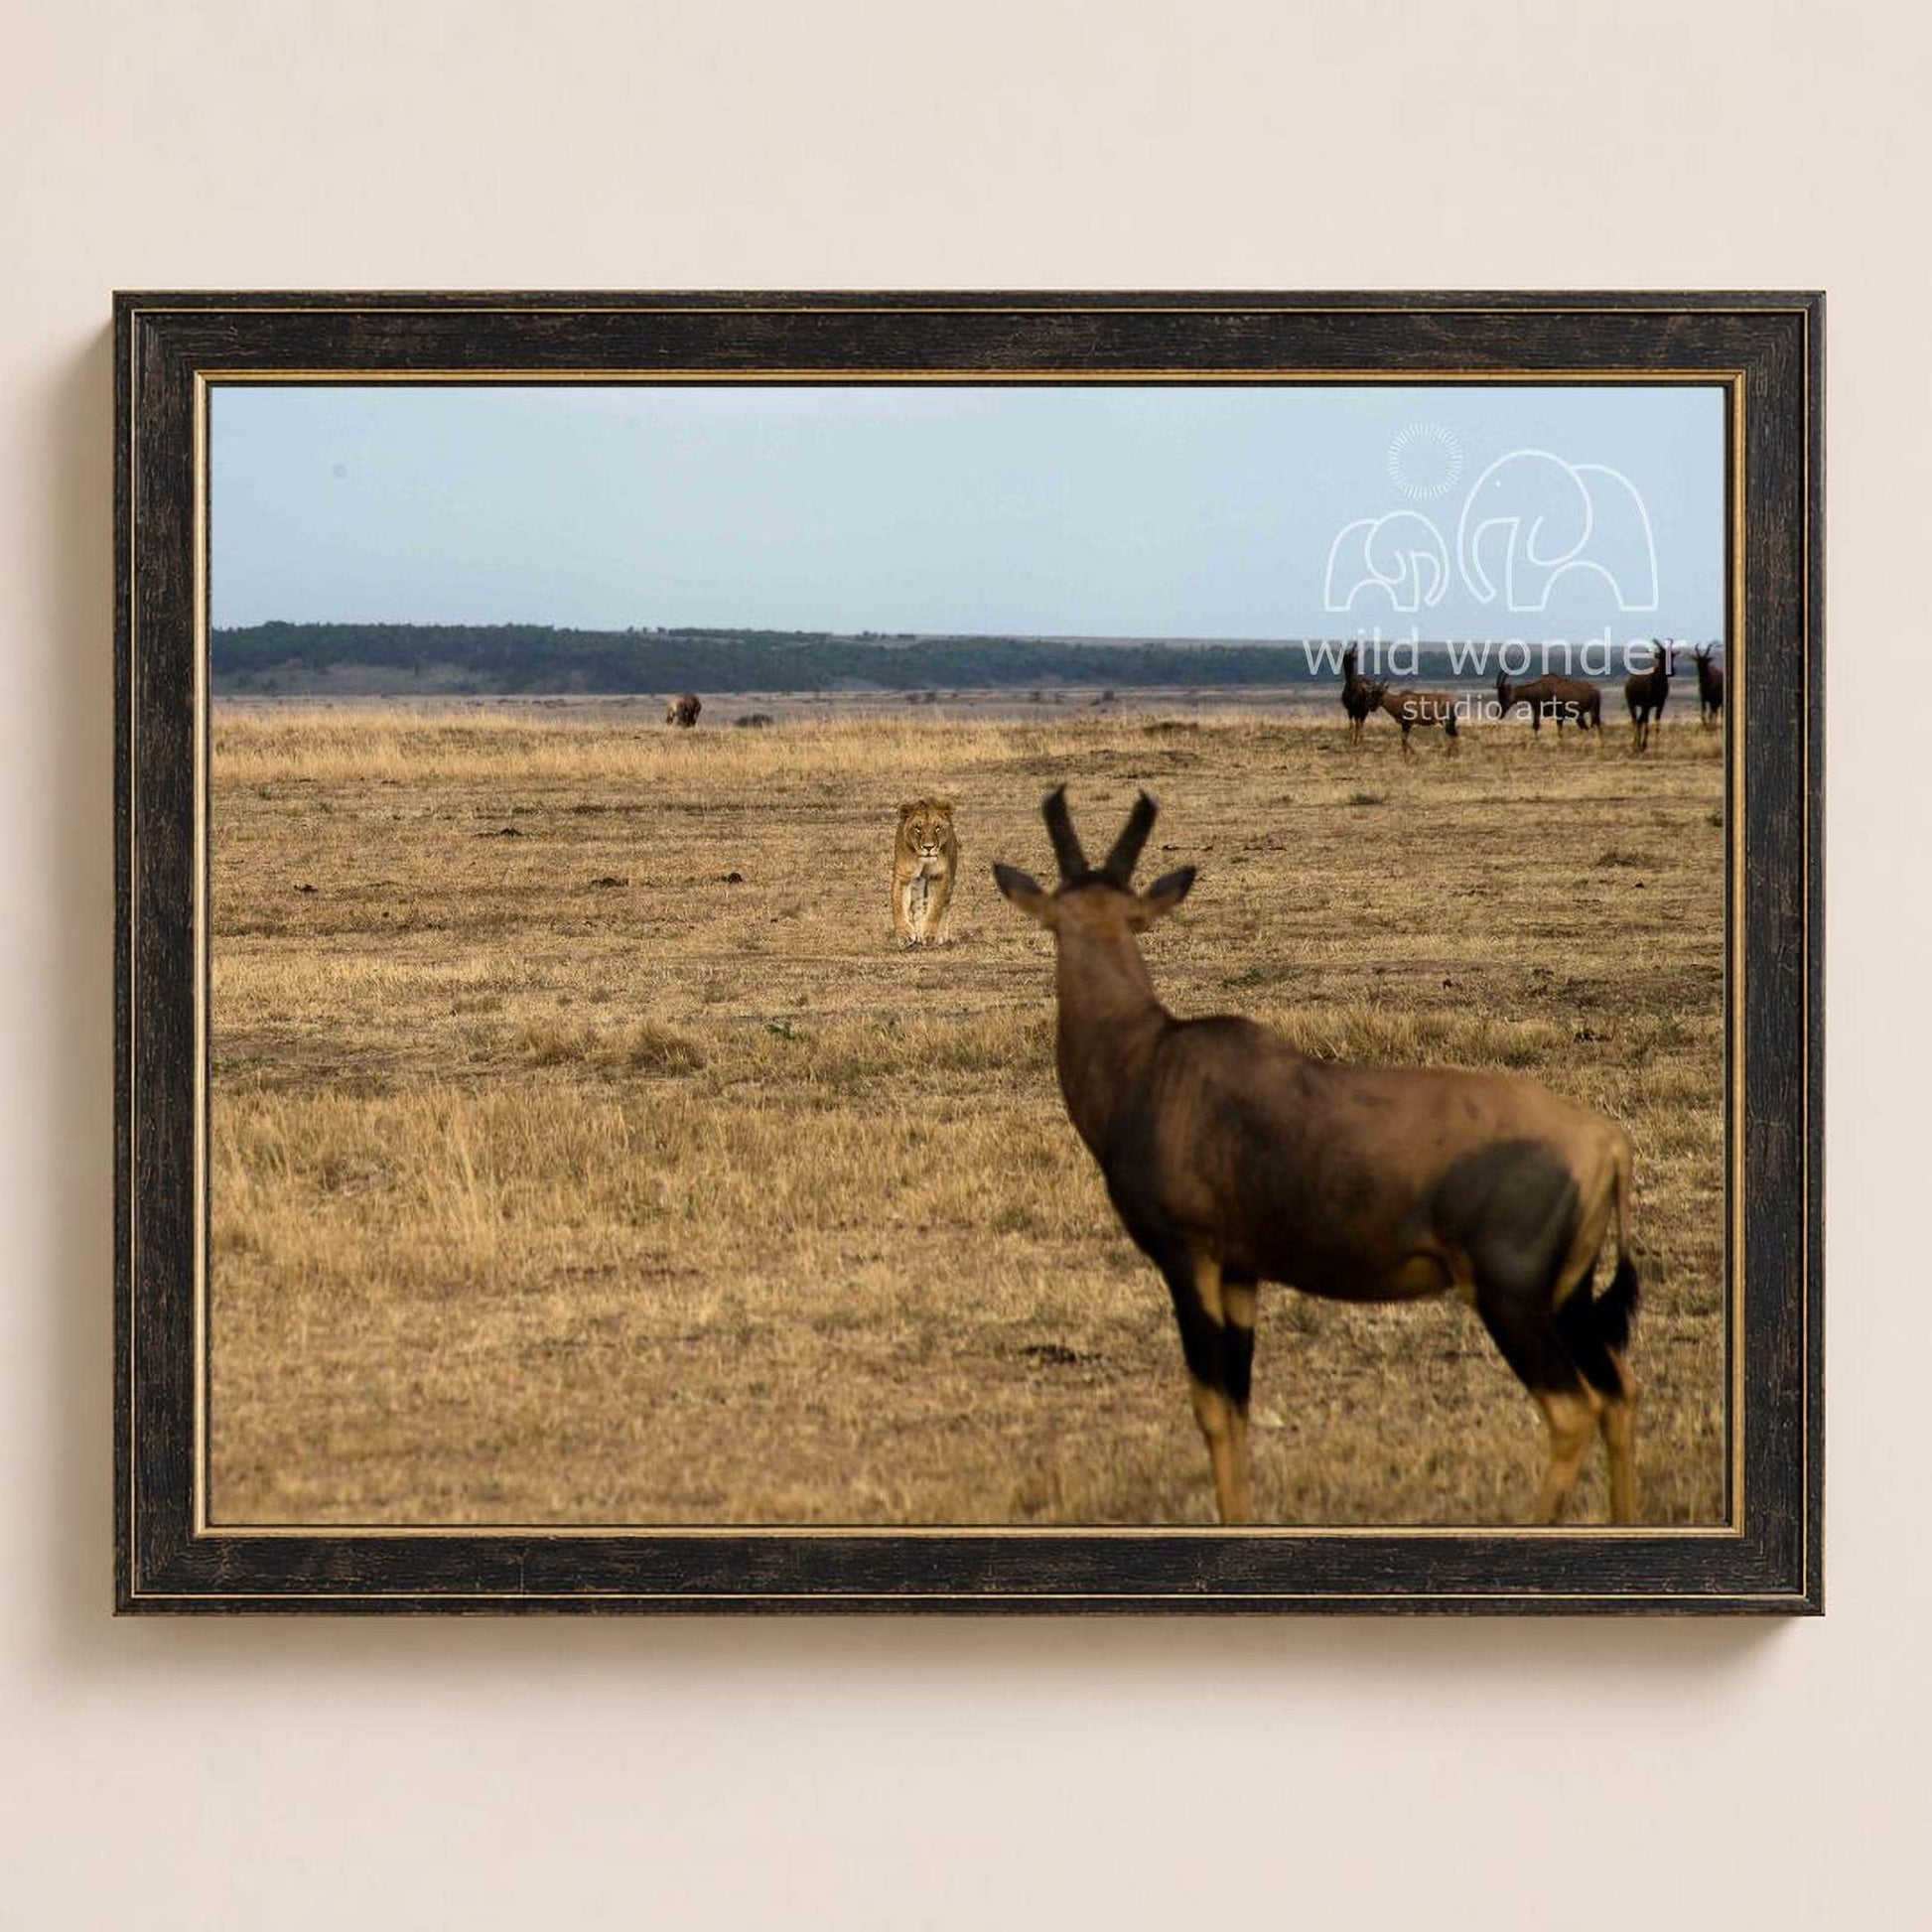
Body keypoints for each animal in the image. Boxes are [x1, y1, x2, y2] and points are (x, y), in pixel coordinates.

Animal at [891, 799, 958, 947]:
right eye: (918, 828)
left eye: (937, 828)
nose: (928, 847)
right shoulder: (903, 876)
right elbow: (898, 906)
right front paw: (905, 935)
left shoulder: (939, 876)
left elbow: (935, 908)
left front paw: (930, 935)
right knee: (917, 905)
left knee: (945, 906)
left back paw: (939, 935)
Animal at [994, 788, 1640, 1527]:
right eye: (1073, 916)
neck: (1153, 1057)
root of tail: (1605, 1141)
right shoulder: (1242, 1272)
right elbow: (1238, 1409)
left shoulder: (1190, 1259)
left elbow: (1210, 1408)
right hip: (1570, 1298)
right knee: (1619, 1393)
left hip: (1513, 1299)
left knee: (1572, 1411)